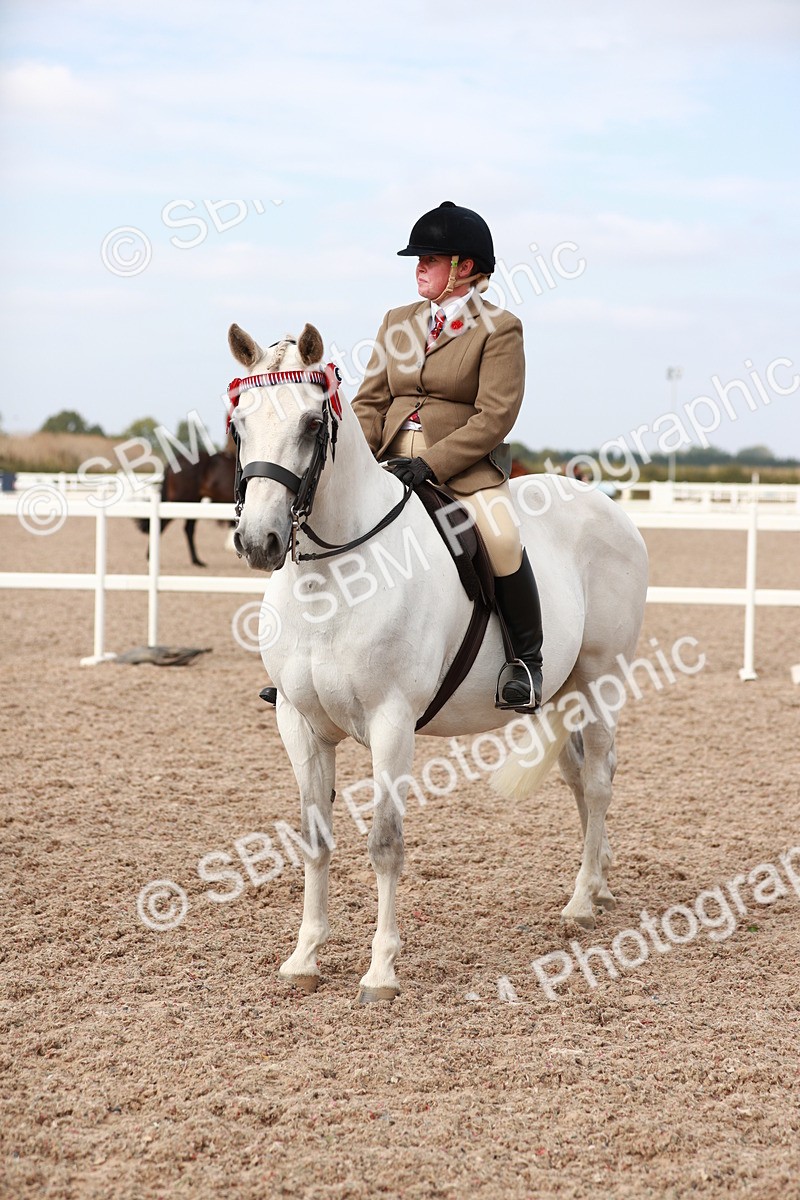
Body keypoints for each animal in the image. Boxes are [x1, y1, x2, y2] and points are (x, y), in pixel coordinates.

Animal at [227, 322, 649, 1003]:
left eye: (313, 425)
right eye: (239, 424)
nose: (259, 542)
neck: (332, 580)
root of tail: (606, 504)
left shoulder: (391, 723)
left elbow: (385, 843)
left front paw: (381, 971)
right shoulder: (299, 723)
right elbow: (315, 840)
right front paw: (304, 958)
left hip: (603, 679)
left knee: (600, 778)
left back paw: (583, 902)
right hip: (561, 694)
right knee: (578, 778)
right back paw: (601, 881)